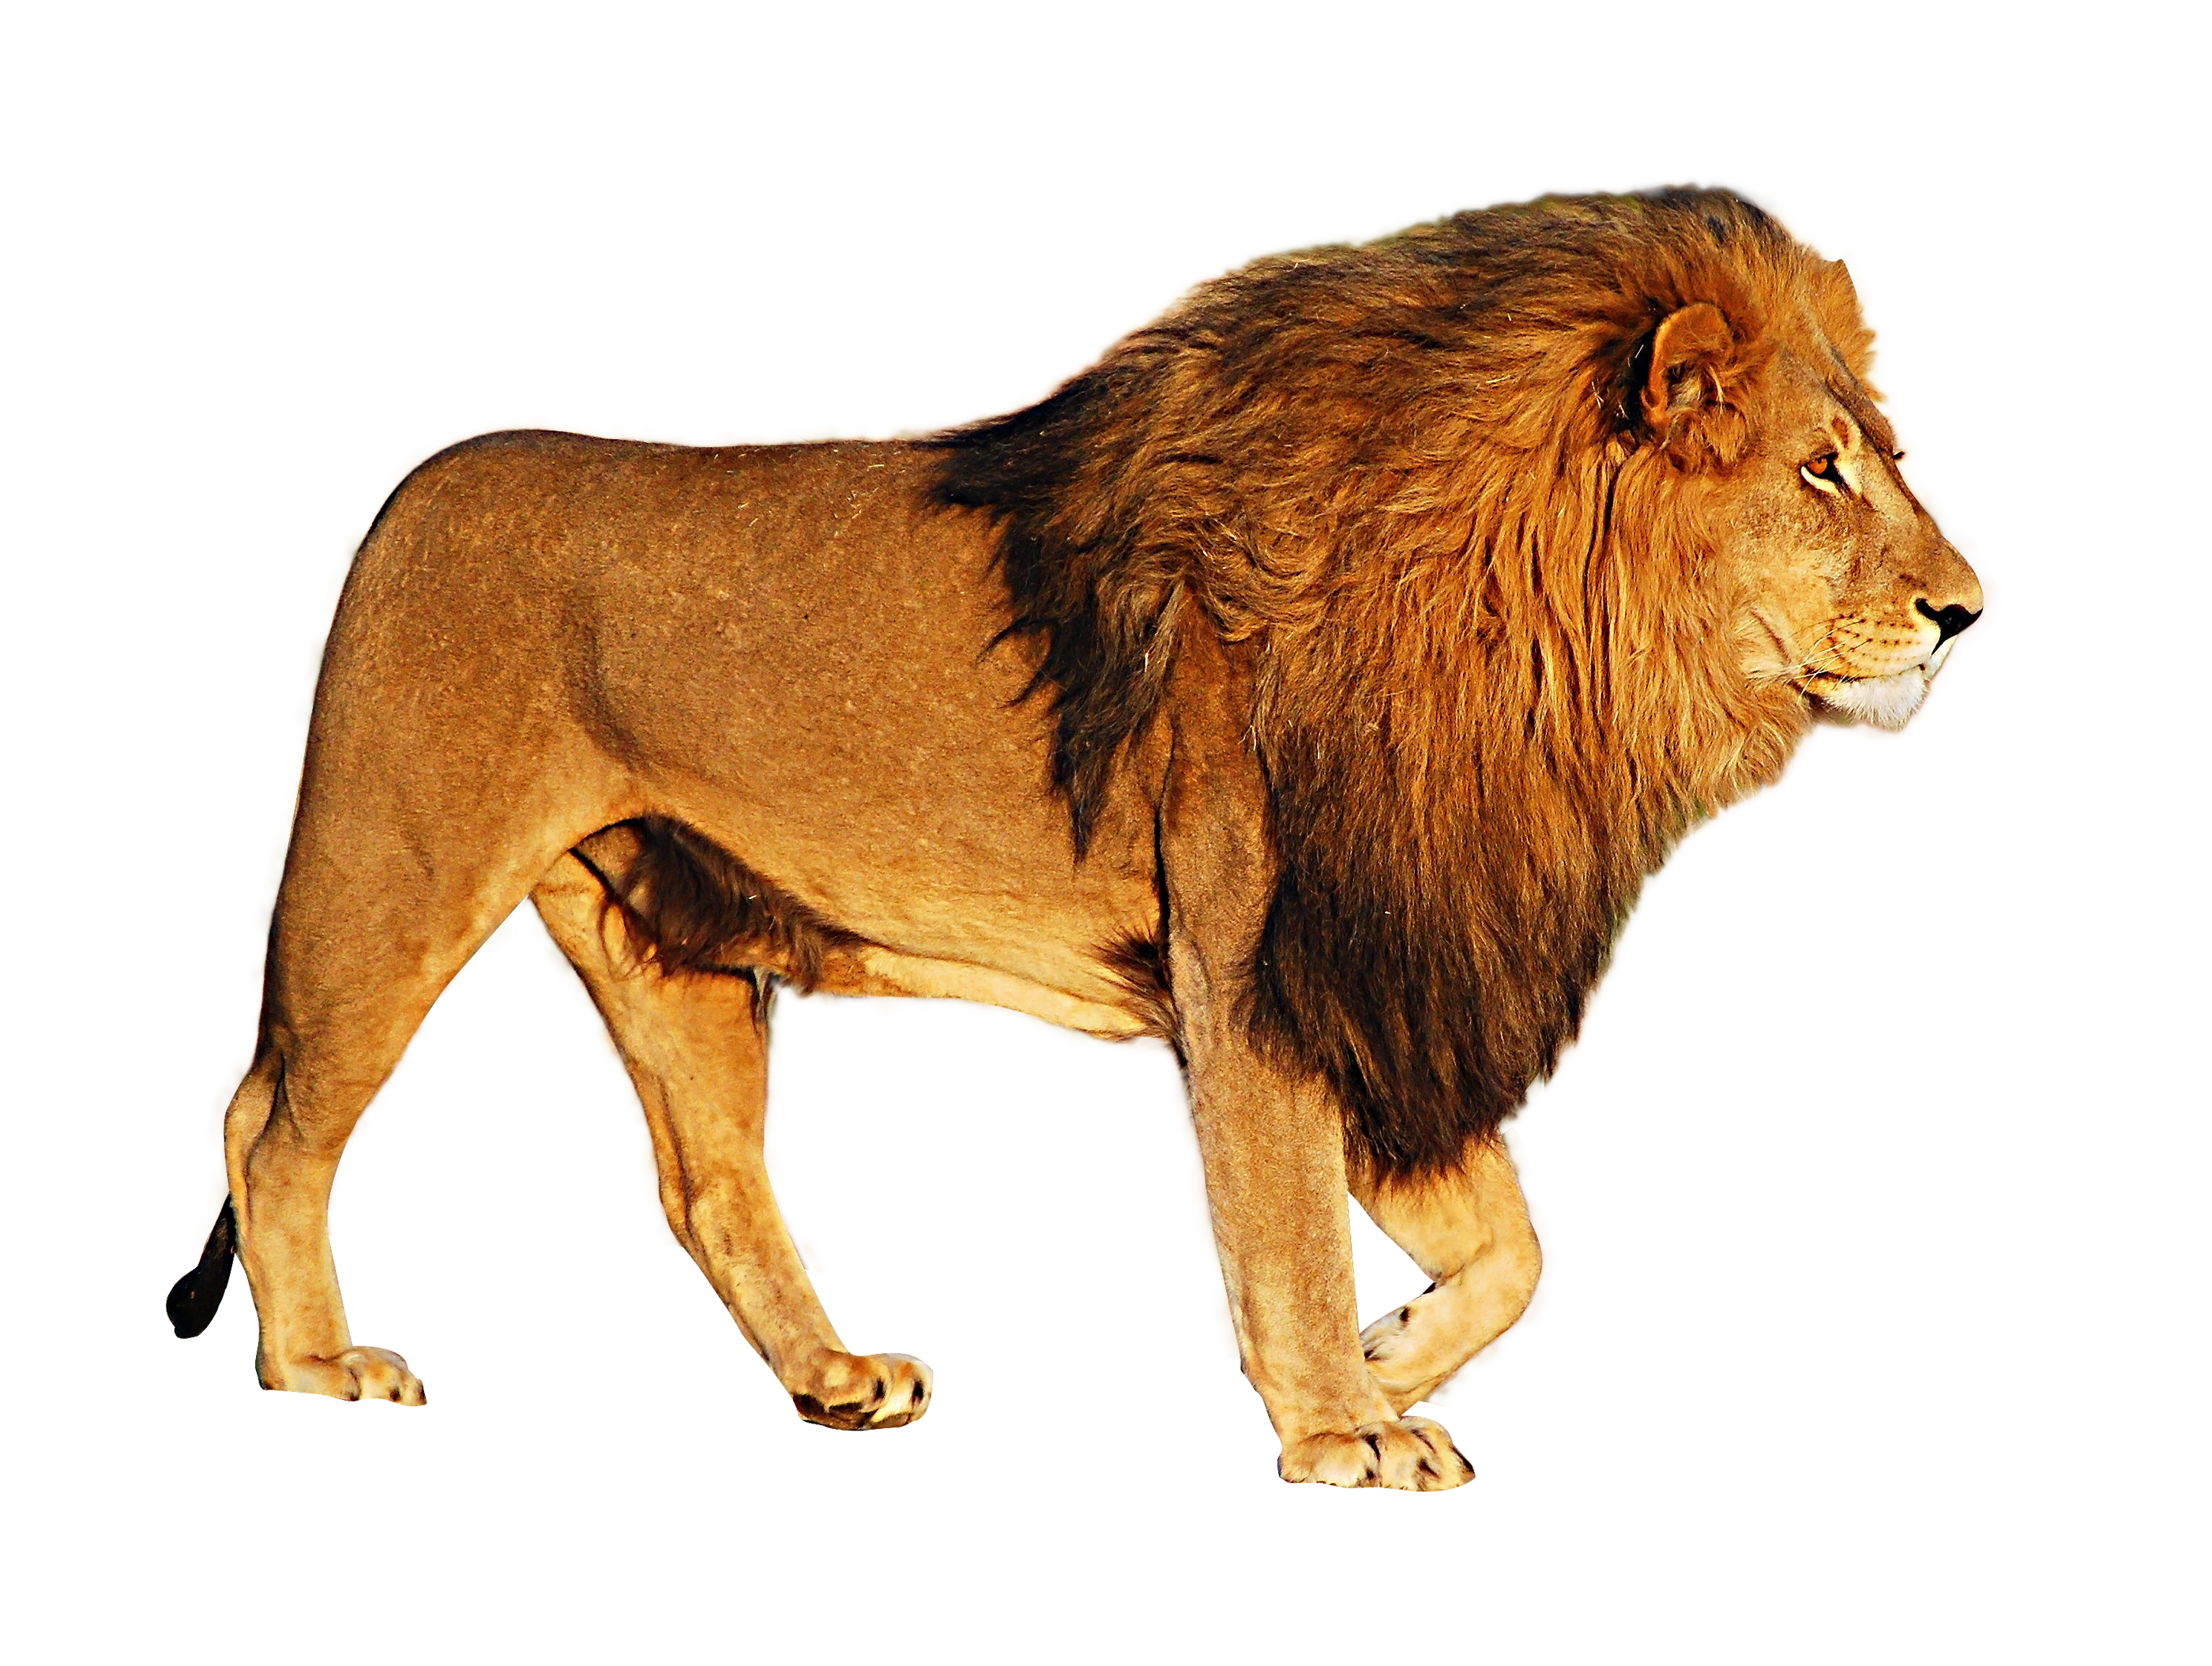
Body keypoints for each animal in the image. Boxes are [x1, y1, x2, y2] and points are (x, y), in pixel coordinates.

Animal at [216, 179, 1983, 1488]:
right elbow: (1289, 1219)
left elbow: (1509, 1246)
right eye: (1820, 472)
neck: (1539, 652)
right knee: (269, 1124)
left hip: (676, 946)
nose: (1967, 607)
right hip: (390, 876)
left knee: (710, 1181)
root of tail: (411, 489)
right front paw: (1342, 1426)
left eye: (1881, 462)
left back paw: (834, 1376)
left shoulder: (1378, 962)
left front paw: (1395, 1355)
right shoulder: (1259, 964)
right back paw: (317, 1364)